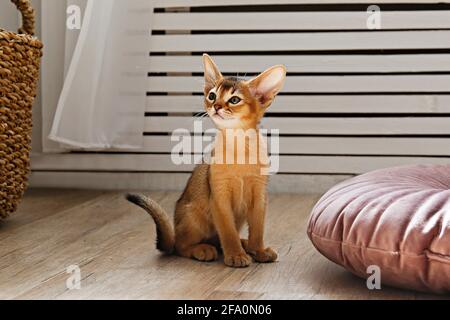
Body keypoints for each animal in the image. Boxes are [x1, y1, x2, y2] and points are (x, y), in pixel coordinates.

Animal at [126, 54, 286, 268]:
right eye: (212, 96)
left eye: (234, 99)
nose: (216, 106)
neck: (239, 148)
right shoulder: (219, 197)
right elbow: (227, 231)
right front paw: (235, 254)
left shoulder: (260, 195)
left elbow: (258, 229)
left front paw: (258, 250)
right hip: (194, 215)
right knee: (181, 246)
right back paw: (203, 249)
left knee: (214, 240)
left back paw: (245, 245)